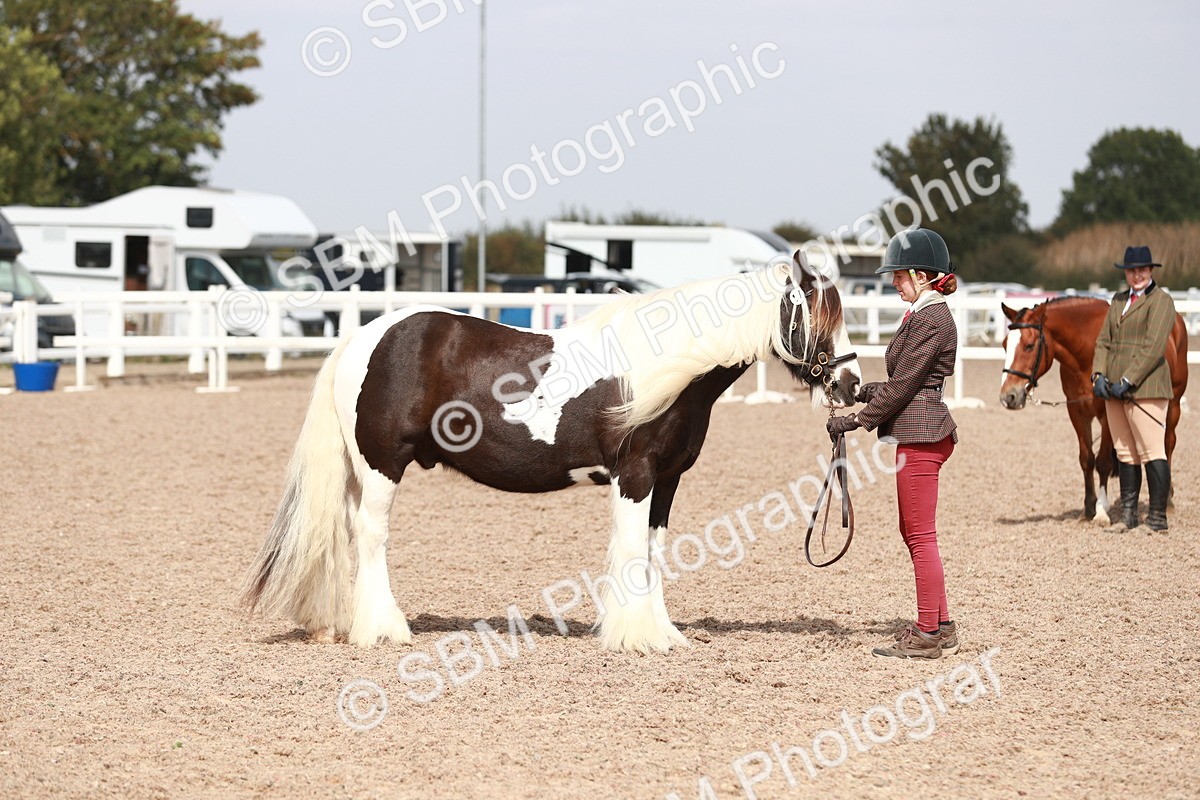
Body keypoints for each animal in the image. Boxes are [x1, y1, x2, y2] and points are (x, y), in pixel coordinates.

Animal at [240, 253, 862, 653]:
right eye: (820, 316)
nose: (853, 384)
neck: (667, 368)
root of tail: (364, 337)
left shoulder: (668, 479)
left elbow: (655, 551)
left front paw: (661, 632)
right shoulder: (634, 475)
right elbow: (631, 551)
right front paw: (632, 637)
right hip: (381, 466)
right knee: (371, 535)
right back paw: (383, 629)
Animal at [998, 297, 1188, 523]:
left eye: (1029, 345)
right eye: (1004, 345)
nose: (1008, 397)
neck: (1088, 354)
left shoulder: (1108, 414)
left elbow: (1103, 462)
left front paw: (1101, 511)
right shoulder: (1077, 412)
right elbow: (1086, 459)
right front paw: (1088, 508)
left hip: (1172, 405)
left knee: (1168, 443)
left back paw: (1167, 500)